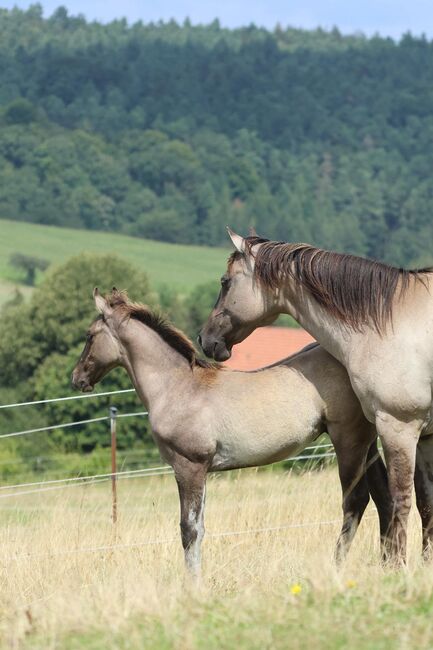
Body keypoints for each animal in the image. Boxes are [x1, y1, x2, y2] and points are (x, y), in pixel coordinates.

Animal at [72, 288, 390, 572]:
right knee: (384, 495)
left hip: (348, 440)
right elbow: (200, 527)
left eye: (89, 335)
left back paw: (337, 567)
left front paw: (193, 585)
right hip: (367, 443)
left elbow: (189, 530)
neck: (178, 387)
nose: (77, 378)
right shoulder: (201, 470)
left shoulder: (189, 466)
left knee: (356, 501)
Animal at [198, 229, 432, 560]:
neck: (392, 324)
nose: (205, 339)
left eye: (225, 281)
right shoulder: (425, 435)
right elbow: (426, 504)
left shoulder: (399, 428)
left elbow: (402, 500)